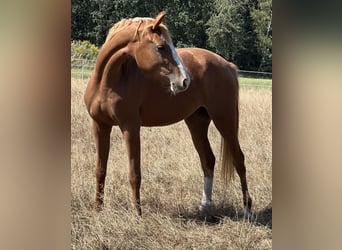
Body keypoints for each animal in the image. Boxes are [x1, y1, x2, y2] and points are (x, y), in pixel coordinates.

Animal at [84, 10, 252, 216]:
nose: (185, 80)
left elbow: (134, 174)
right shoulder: (100, 126)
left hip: (225, 120)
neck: (108, 81)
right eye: (161, 46)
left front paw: (137, 215)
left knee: (239, 160)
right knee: (208, 160)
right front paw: (97, 210)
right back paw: (205, 206)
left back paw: (247, 210)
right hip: (197, 122)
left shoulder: (130, 127)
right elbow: (100, 170)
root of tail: (228, 65)